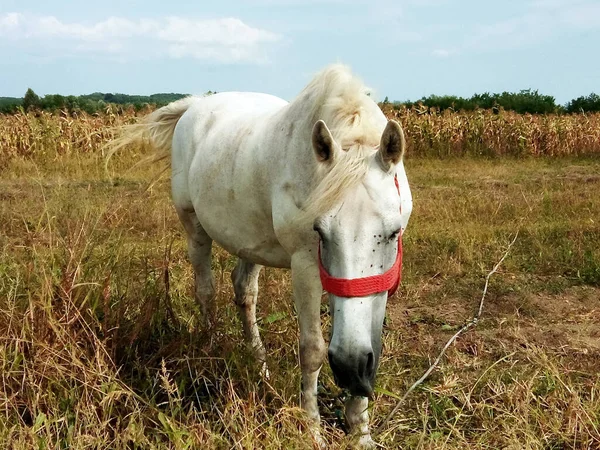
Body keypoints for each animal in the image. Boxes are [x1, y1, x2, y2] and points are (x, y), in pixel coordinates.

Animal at [111, 65, 412, 448]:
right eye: (320, 232)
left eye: (393, 232)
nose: (349, 369)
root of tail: (194, 106)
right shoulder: (305, 266)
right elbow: (312, 350)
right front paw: (312, 429)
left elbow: (369, 341)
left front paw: (360, 430)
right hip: (194, 227)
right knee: (205, 292)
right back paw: (214, 352)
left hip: (248, 240)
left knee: (244, 292)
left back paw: (259, 364)